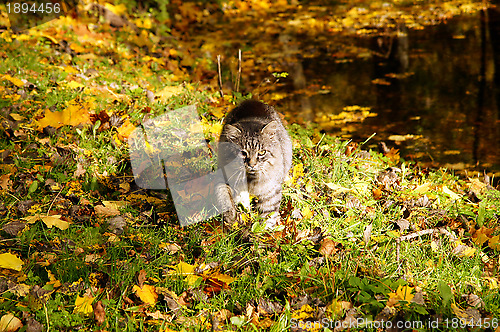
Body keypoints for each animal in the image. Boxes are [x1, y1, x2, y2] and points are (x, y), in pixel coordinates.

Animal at [216, 99, 292, 228]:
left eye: (261, 152)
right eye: (243, 153)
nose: (252, 164)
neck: (251, 179)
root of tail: (252, 101)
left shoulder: (272, 189)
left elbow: (268, 213)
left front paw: (263, 229)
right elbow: (227, 197)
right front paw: (234, 218)